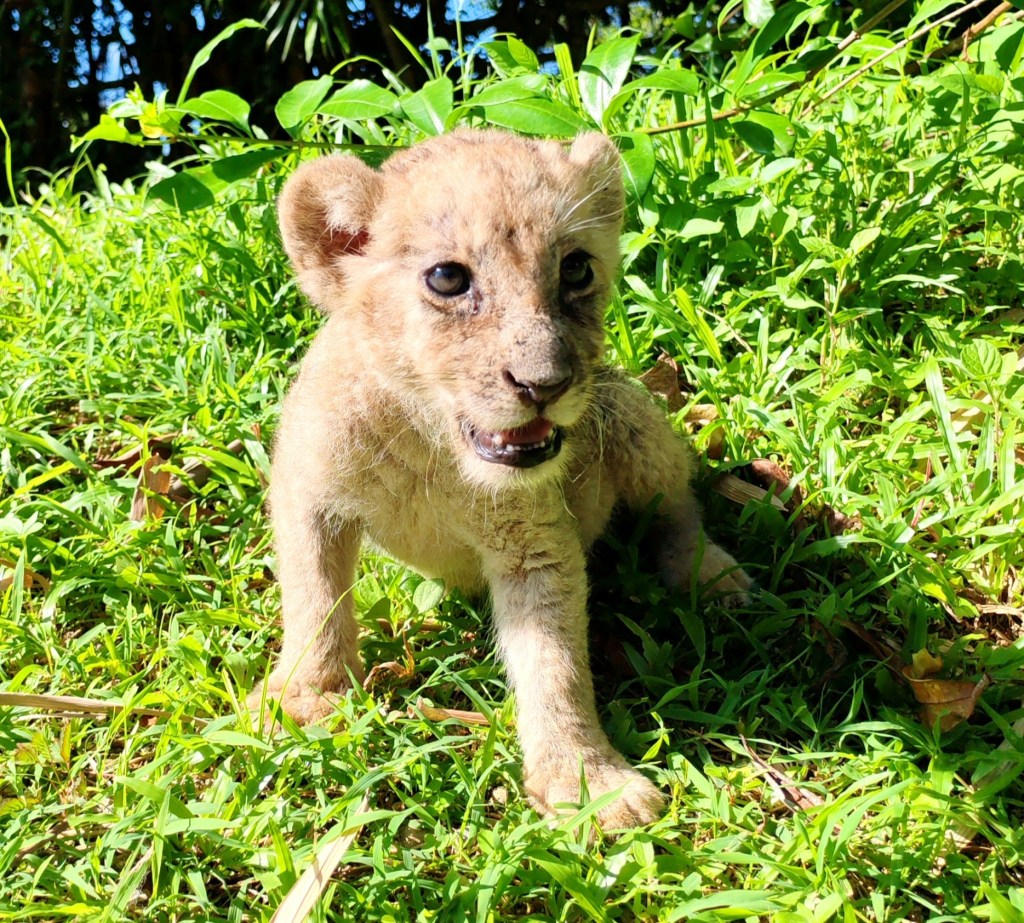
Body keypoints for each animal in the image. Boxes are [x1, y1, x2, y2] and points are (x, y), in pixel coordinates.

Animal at [249, 129, 751, 829]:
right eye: (447, 278)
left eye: (576, 269)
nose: (545, 385)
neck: (430, 442)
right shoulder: (307, 487)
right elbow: (314, 600)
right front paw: (303, 700)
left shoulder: (533, 541)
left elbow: (554, 661)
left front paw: (587, 781)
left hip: (626, 411)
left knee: (678, 503)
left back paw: (712, 576)